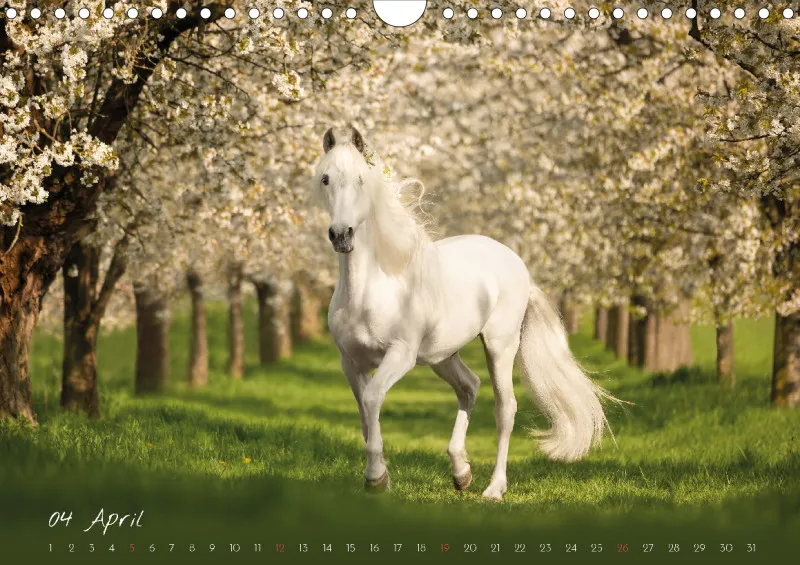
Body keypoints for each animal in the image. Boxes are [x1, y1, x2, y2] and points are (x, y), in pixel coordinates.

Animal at [313, 127, 615, 500]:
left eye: (361, 179)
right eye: (325, 178)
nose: (341, 235)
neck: (370, 290)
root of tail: (517, 264)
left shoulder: (400, 355)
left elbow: (372, 400)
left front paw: (375, 478)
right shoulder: (350, 362)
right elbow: (365, 416)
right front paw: (380, 477)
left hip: (500, 346)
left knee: (505, 408)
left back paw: (494, 488)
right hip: (443, 356)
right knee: (469, 386)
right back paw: (461, 473)